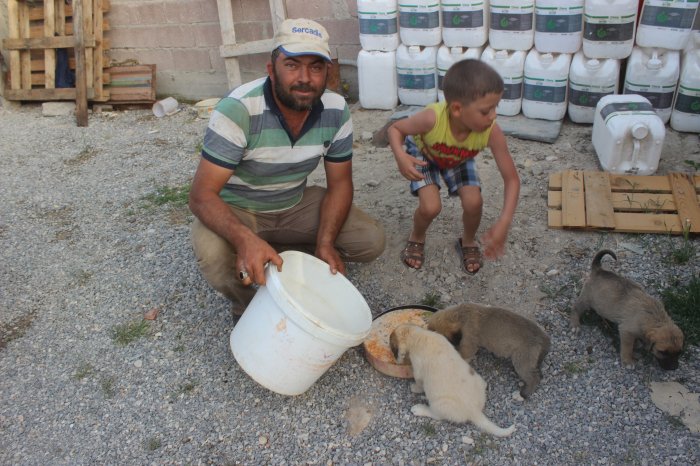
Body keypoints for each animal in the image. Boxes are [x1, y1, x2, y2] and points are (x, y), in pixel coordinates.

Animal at [388, 324, 516, 436]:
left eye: (392, 346)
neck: (419, 336)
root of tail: (474, 410)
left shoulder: (418, 371)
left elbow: (419, 383)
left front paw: (414, 388)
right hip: (477, 378)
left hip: (440, 404)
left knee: (436, 415)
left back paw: (419, 409)